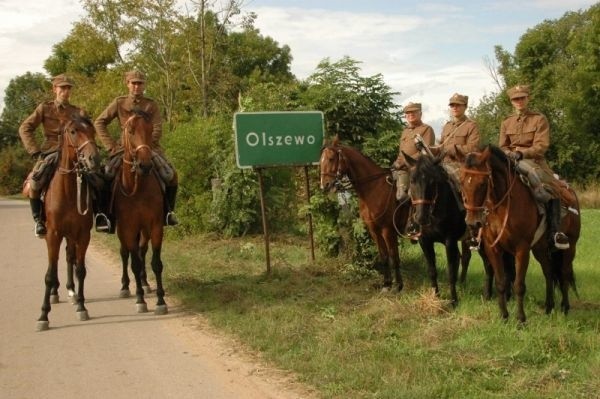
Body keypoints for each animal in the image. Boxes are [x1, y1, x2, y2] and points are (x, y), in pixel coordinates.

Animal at [36, 112, 101, 332]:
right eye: (73, 131)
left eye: (92, 130)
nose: (93, 159)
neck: (68, 192)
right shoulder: (53, 234)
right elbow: (48, 274)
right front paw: (43, 315)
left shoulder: (82, 234)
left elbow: (80, 269)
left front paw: (81, 306)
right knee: (55, 264)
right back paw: (55, 293)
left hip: (71, 236)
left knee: (68, 258)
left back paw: (71, 291)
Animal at [113, 110, 168, 316]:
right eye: (130, 131)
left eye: (151, 130)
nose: (145, 165)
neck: (138, 190)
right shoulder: (128, 229)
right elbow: (134, 264)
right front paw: (140, 300)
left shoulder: (156, 226)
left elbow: (156, 263)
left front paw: (160, 301)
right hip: (123, 231)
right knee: (125, 253)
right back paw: (125, 287)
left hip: (143, 230)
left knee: (141, 251)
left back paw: (144, 283)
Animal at [318, 138, 412, 290]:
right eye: (320, 161)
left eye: (331, 158)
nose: (324, 185)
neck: (374, 188)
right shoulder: (374, 230)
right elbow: (384, 256)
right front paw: (386, 284)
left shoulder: (387, 230)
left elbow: (394, 256)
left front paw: (398, 285)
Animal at [460, 145, 580, 324]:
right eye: (461, 182)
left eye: (482, 183)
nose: (473, 223)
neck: (503, 208)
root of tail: (569, 190)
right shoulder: (493, 249)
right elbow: (501, 282)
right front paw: (503, 316)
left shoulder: (521, 250)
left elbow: (519, 285)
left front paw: (521, 319)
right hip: (540, 249)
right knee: (549, 272)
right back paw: (548, 307)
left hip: (570, 246)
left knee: (564, 273)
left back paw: (565, 308)